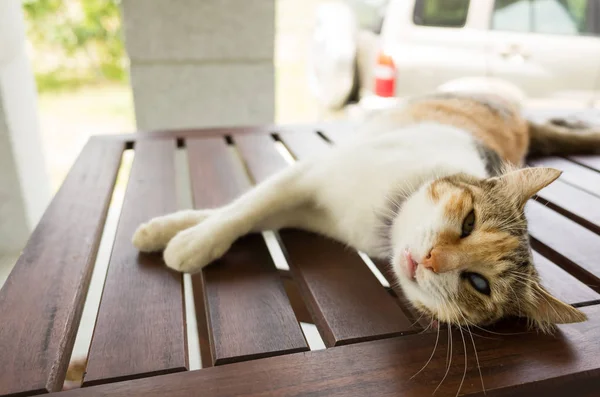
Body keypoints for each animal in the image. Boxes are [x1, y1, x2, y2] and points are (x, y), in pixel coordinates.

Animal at [132, 92, 600, 332]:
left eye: (479, 284)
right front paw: (181, 232)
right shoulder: (308, 174)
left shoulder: (307, 206)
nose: (432, 259)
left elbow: (251, 213)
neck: (384, 218)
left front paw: (188, 237)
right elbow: (241, 208)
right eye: (468, 222)